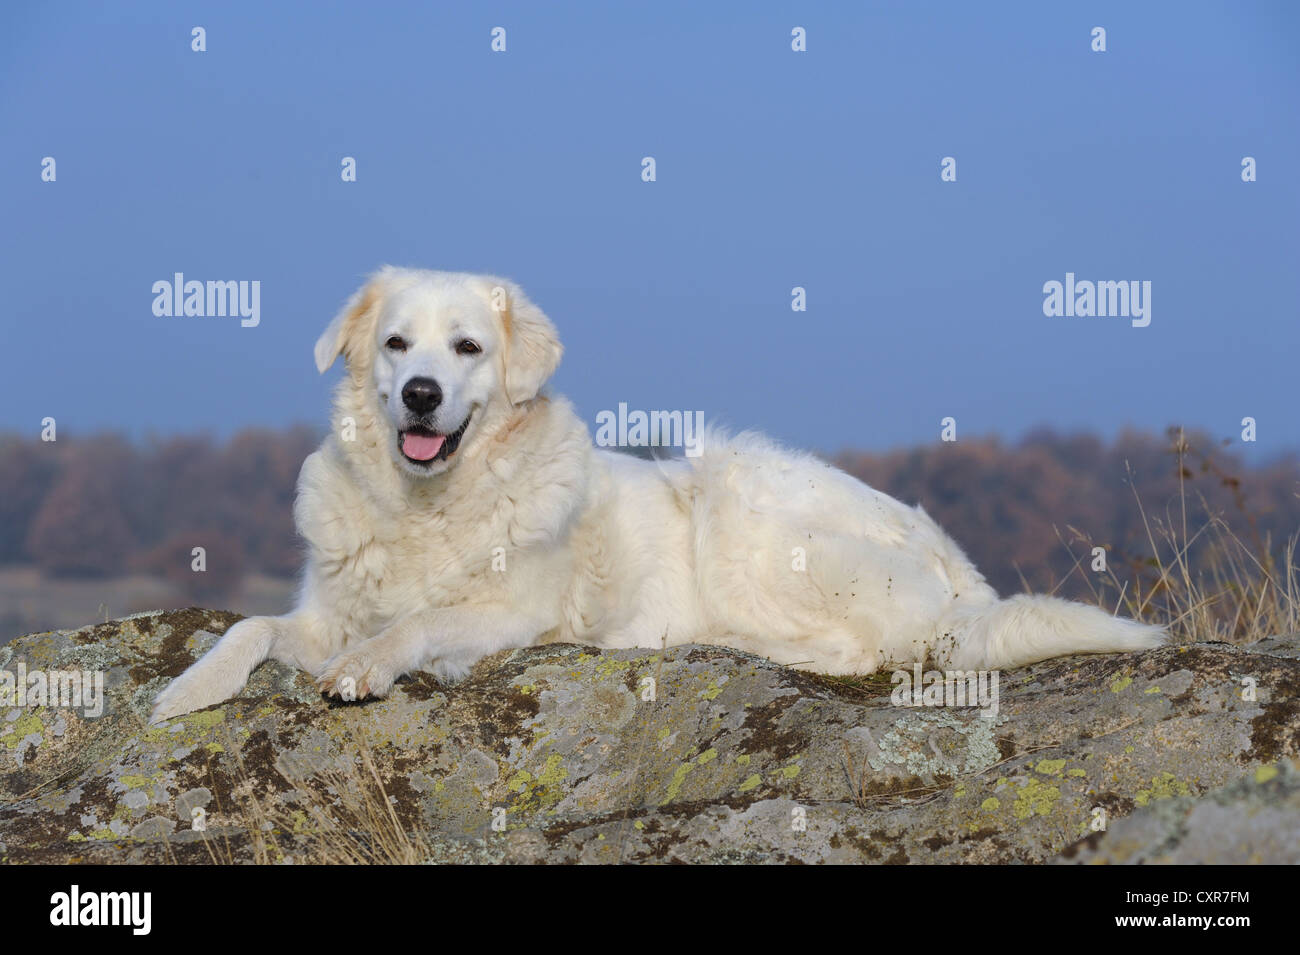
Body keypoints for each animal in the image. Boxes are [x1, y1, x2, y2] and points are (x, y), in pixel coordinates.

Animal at [149, 268, 1159, 722]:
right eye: (397, 344)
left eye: (467, 347)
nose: (421, 395)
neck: (427, 507)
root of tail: (960, 569)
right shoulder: (321, 609)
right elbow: (251, 628)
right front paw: (189, 689)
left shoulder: (512, 612)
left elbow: (421, 623)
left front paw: (371, 667)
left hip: (736, 496)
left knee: (864, 646)